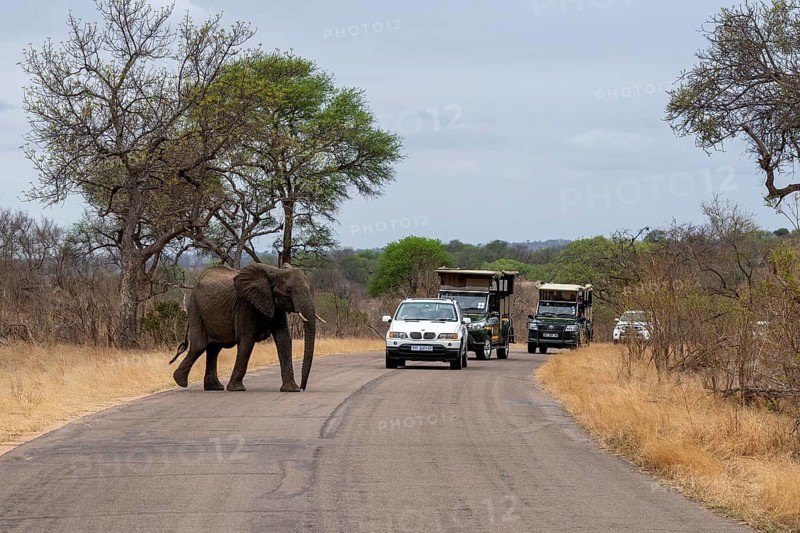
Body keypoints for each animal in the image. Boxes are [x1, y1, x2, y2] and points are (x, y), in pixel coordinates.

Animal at [170, 263, 316, 392]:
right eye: (288, 291)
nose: (302, 387)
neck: (275, 271)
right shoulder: (244, 305)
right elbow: (247, 340)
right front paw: (236, 389)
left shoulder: (276, 307)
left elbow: (284, 339)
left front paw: (292, 389)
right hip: (195, 307)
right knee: (200, 346)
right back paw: (180, 381)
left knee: (214, 349)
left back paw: (213, 387)